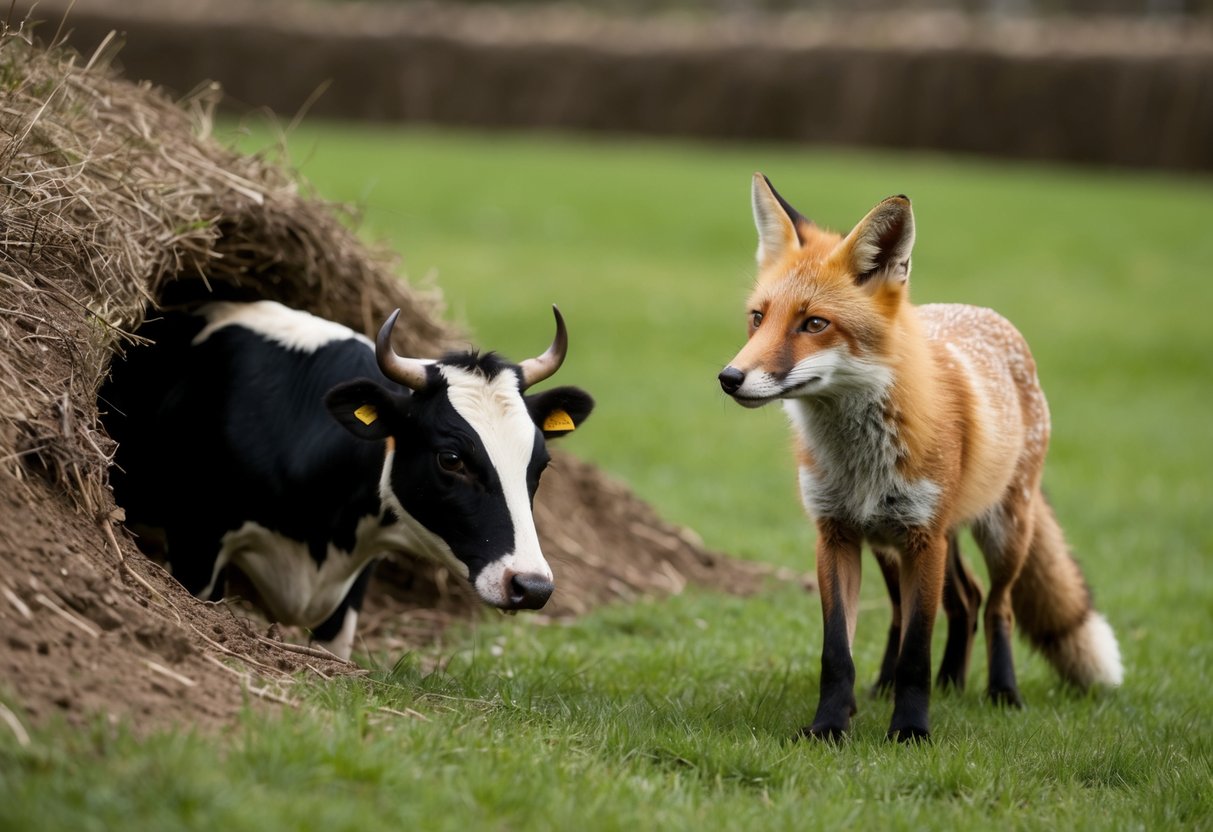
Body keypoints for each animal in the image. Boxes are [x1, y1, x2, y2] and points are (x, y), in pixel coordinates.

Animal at [718, 174, 1123, 741]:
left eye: (814, 324)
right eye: (758, 318)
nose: (729, 378)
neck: (861, 459)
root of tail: (982, 313)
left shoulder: (922, 538)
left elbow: (917, 650)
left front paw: (910, 731)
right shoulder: (836, 534)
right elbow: (837, 652)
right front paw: (829, 726)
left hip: (1000, 532)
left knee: (995, 606)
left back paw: (999, 692)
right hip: (894, 546)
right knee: (952, 603)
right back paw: (925, 685)